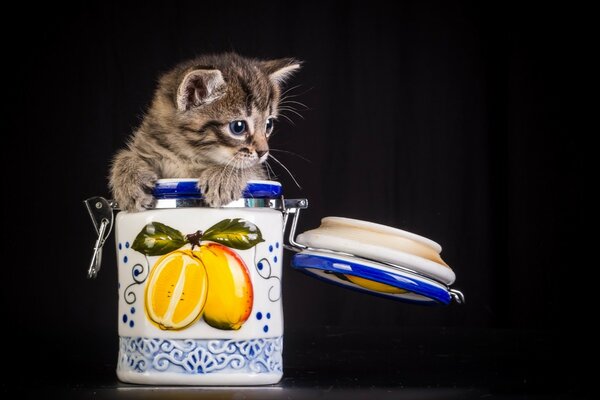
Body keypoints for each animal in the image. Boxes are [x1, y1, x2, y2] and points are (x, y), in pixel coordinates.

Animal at [108, 52, 300, 212]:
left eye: (268, 124)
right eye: (238, 127)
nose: (263, 152)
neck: (187, 155)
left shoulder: (260, 172)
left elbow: (250, 167)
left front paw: (223, 177)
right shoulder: (148, 142)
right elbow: (126, 155)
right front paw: (129, 181)